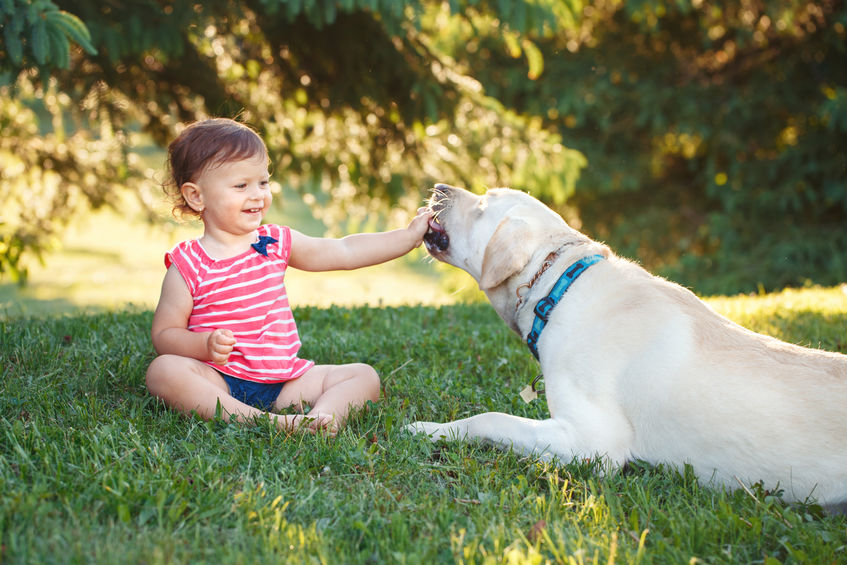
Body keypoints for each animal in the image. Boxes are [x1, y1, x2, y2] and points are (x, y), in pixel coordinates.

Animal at [408, 184, 847, 506]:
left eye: (483, 204)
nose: (439, 186)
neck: (559, 286)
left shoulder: (593, 443)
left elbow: (491, 419)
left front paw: (429, 429)